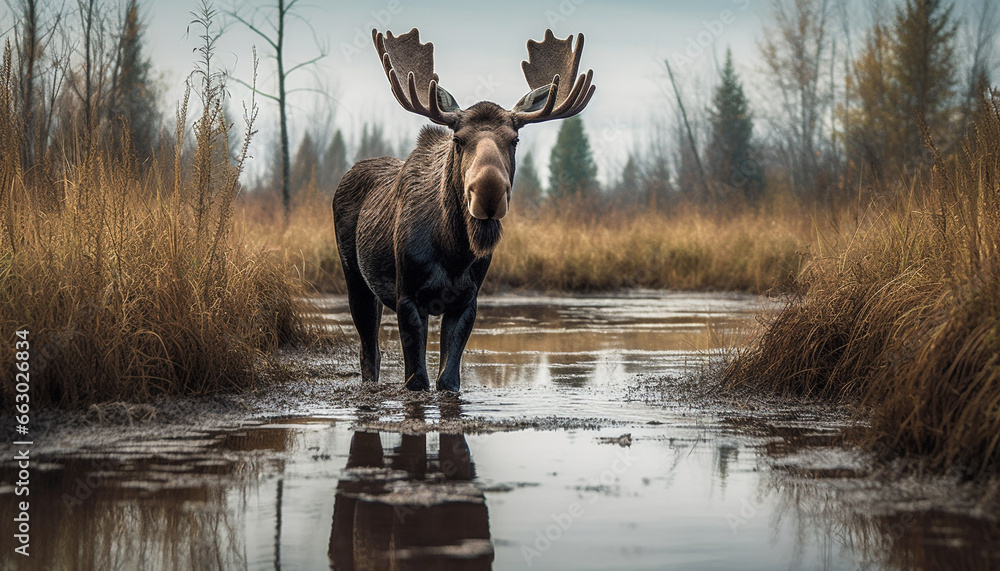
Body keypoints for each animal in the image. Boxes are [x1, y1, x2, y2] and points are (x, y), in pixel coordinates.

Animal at [336, 27, 592, 394]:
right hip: (355, 278)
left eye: (514, 139)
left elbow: (448, 380)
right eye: (458, 139)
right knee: (368, 352)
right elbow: (417, 380)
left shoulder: (466, 302)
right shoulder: (407, 298)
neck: (453, 252)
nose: (488, 194)